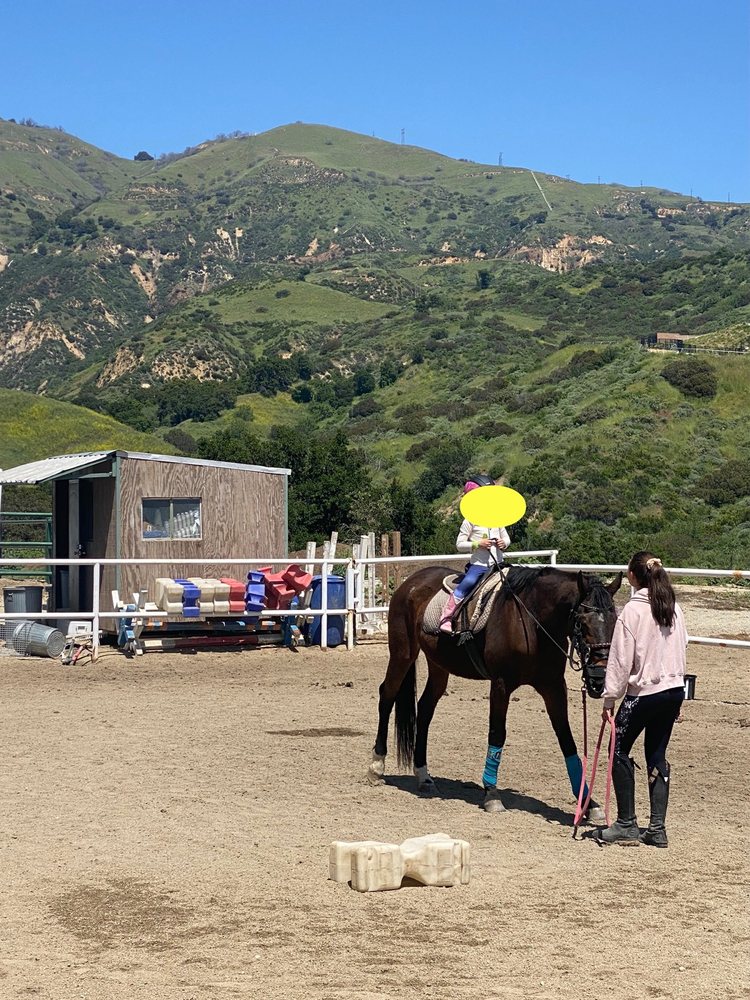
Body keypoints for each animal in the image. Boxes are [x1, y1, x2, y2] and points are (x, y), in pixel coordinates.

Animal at [367, 564, 623, 821]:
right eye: (582, 622)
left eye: (615, 621)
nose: (599, 679)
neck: (532, 622)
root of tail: (412, 581)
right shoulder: (501, 685)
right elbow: (497, 733)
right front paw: (491, 794)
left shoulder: (553, 687)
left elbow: (566, 740)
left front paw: (589, 804)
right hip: (403, 654)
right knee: (387, 696)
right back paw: (376, 766)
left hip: (439, 665)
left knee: (425, 709)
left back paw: (424, 776)